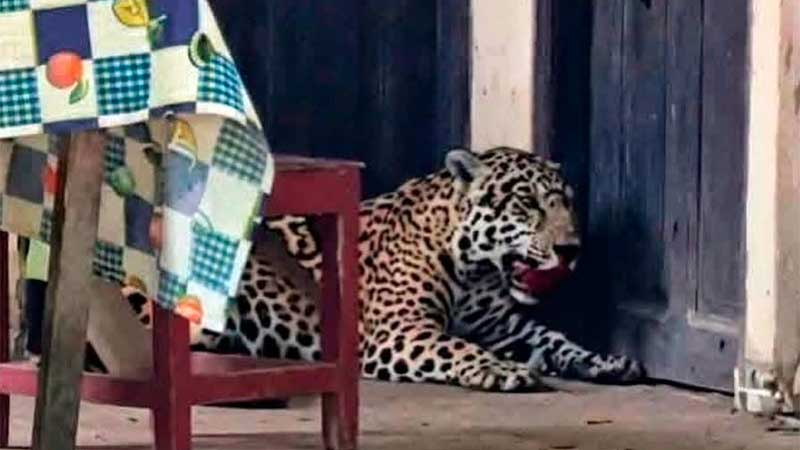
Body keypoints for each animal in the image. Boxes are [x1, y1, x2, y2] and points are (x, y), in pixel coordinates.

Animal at [124, 147, 645, 392]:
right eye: (527, 203)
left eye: (567, 203)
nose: (572, 249)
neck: (476, 272)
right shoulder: (400, 329)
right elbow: (458, 347)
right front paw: (502, 370)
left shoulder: (504, 327)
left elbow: (556, 340)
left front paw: (607, 361)